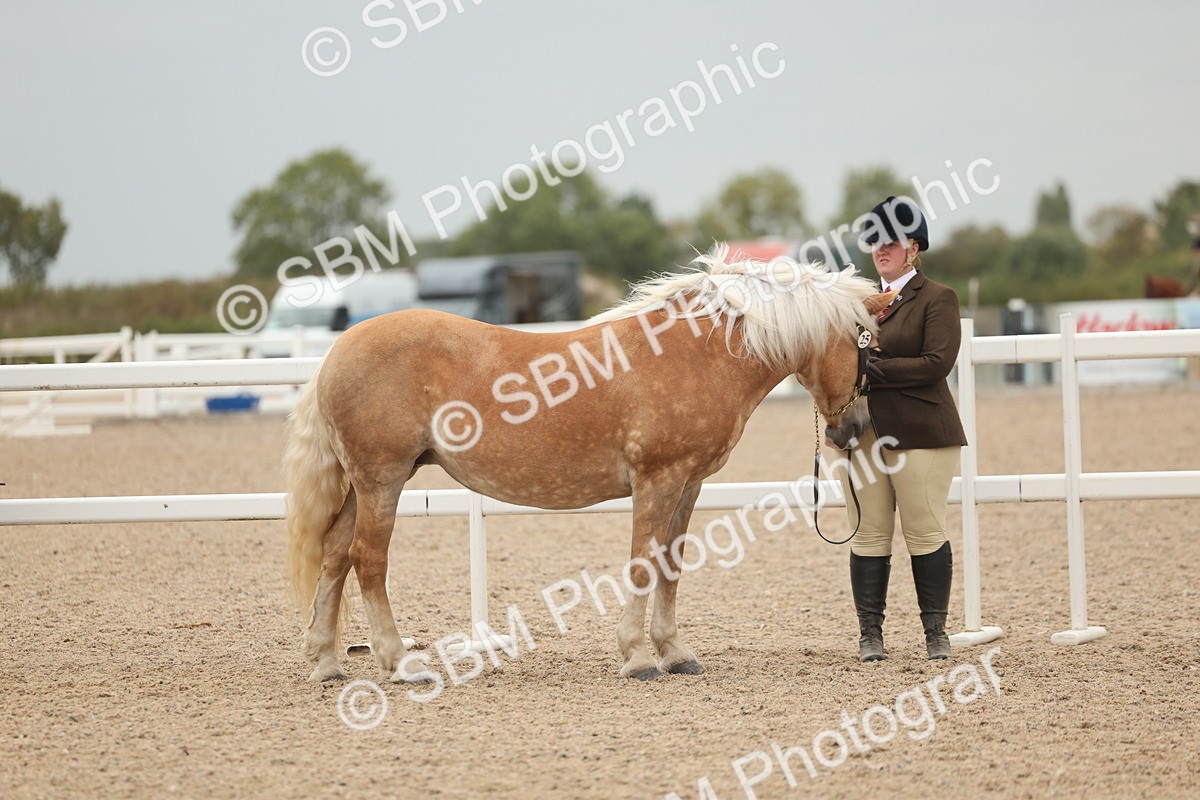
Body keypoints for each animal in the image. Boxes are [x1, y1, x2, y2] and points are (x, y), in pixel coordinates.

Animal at [283, 247, 891, 683]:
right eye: (868, 346)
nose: (855, 429)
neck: (698, 354)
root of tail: (334, 353)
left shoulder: (689, 484)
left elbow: (671, 563)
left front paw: (675, 652)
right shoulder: (657, 480)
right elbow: (643, 563)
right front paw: (638, 657)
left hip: (367, 483)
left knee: (335, 554)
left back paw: (327, 663)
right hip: (382, 480)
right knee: (368, 560)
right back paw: (399, 664)